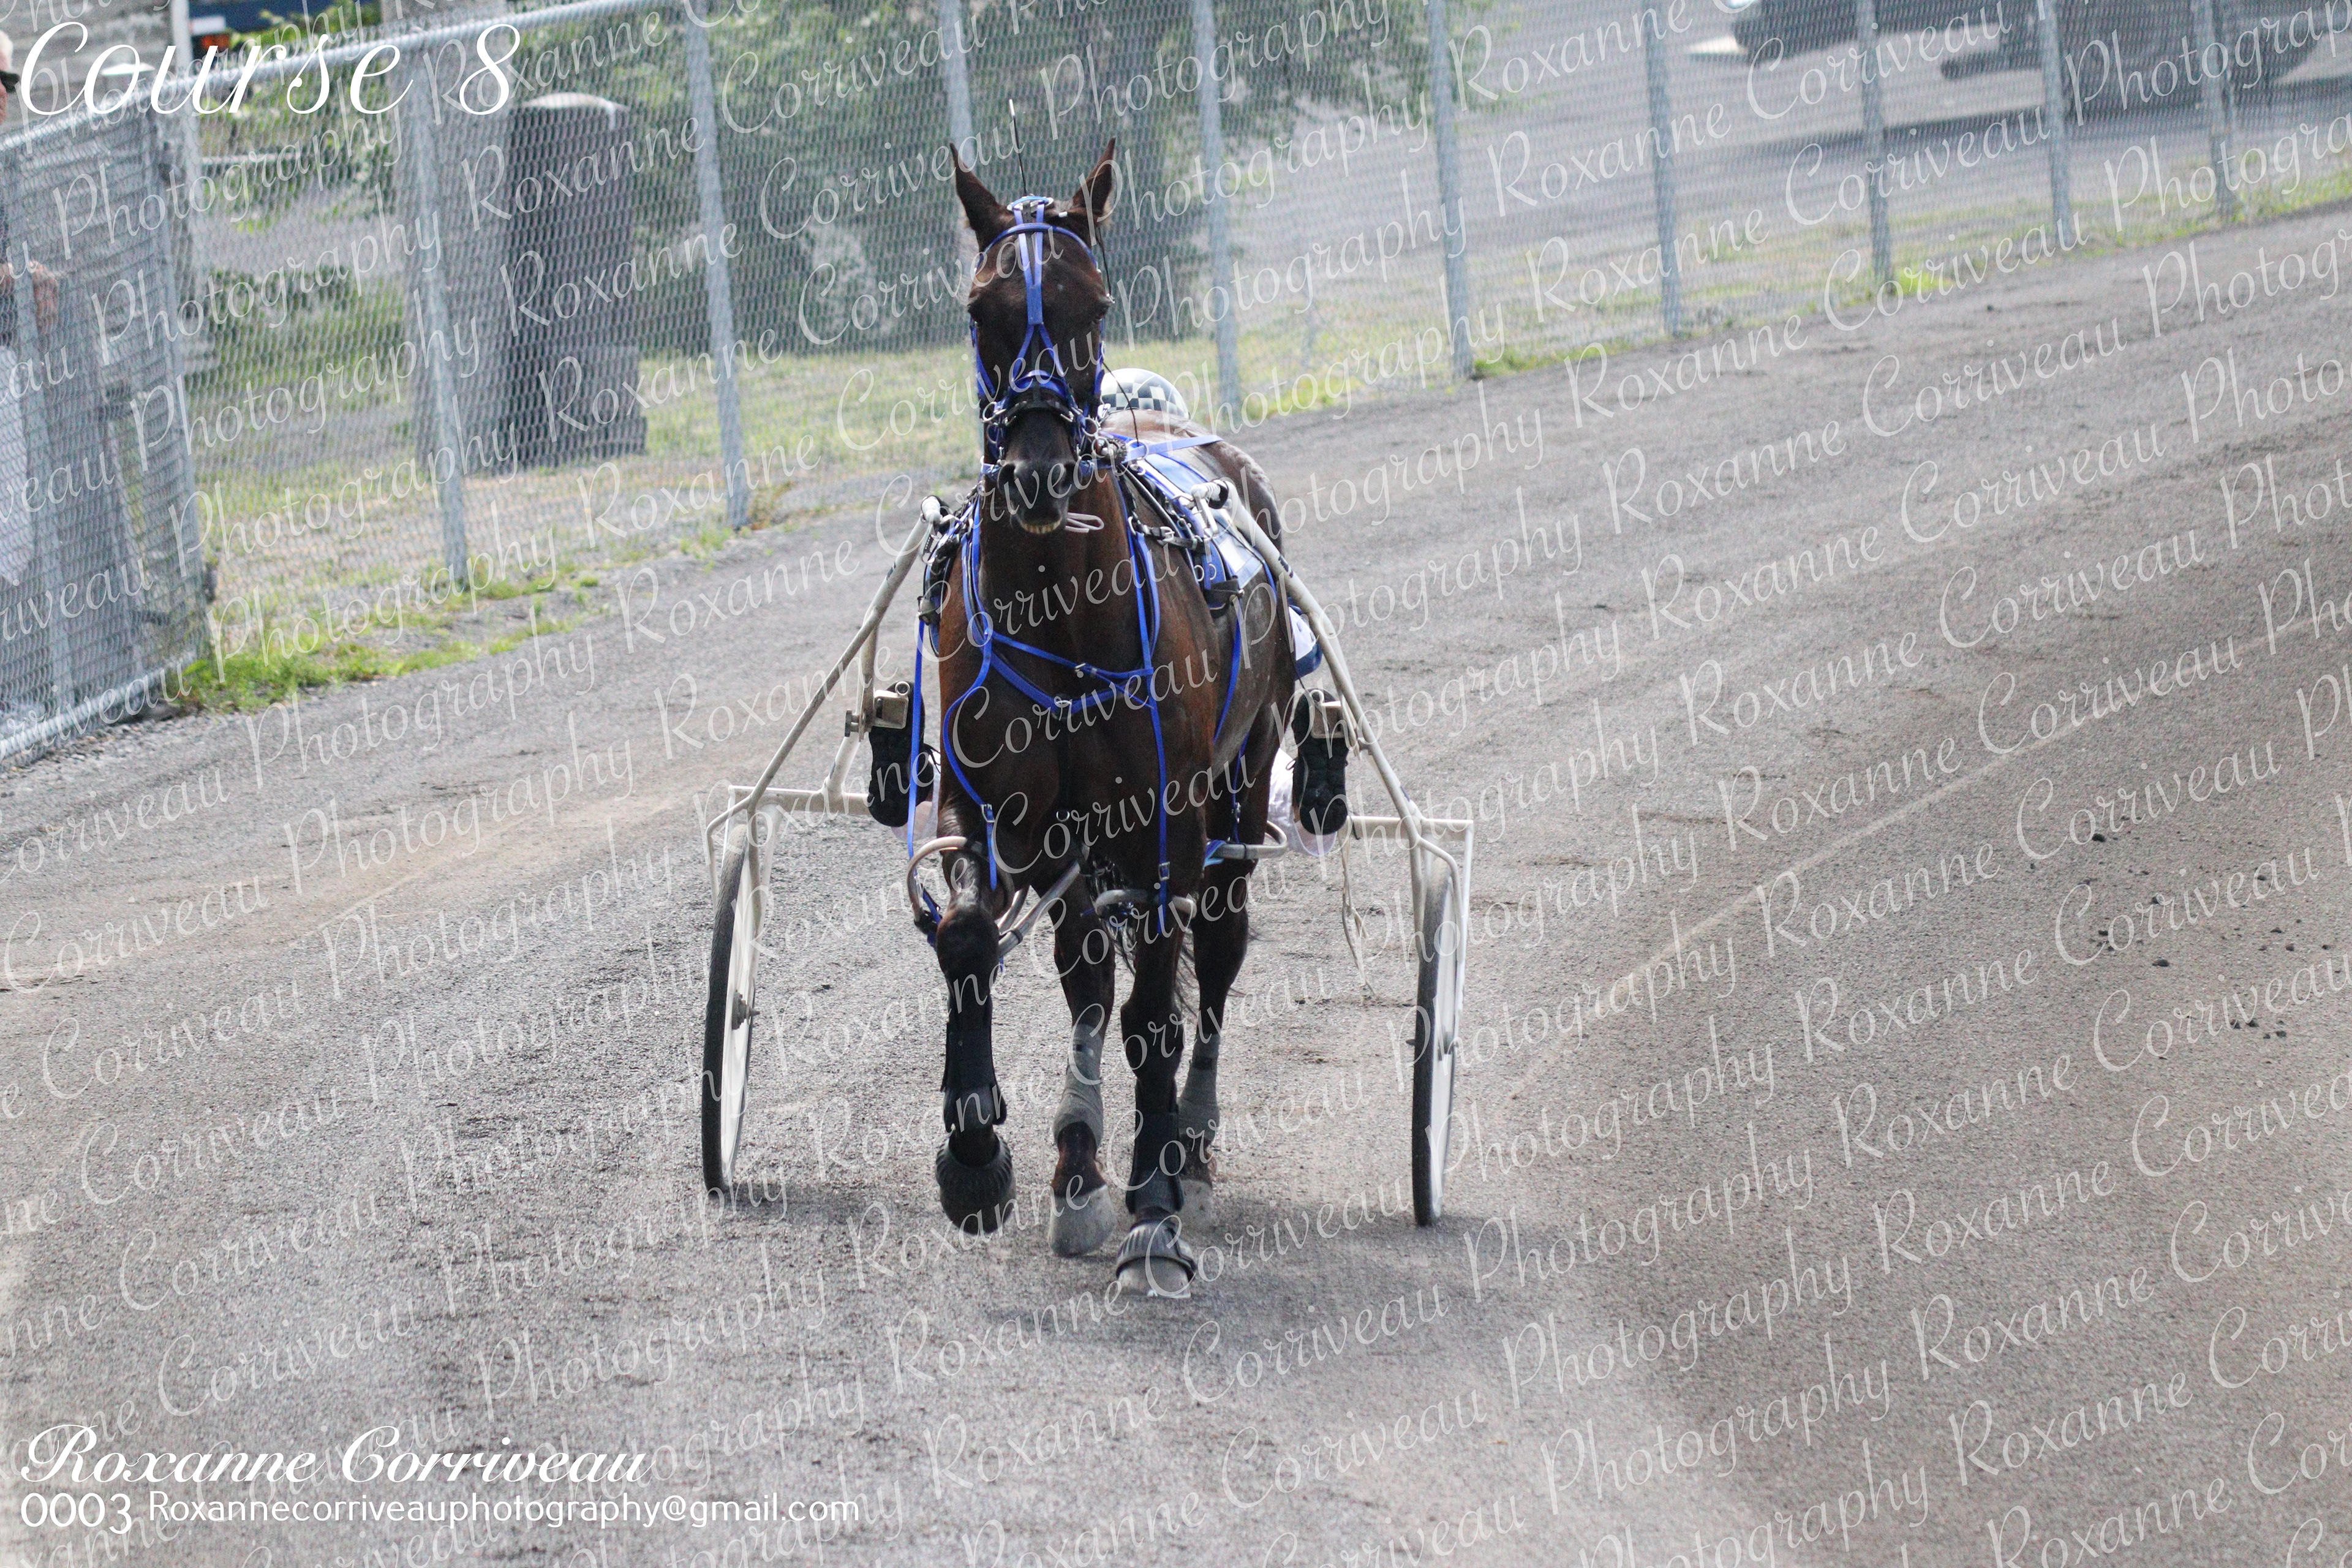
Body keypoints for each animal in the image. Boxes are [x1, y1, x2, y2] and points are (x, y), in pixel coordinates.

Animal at [906, 142, 1302, 1296]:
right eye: (981, 307)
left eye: (1096, 302)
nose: (1038, 470)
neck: (1061, 606)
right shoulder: (989, 807)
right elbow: (969, 940)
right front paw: (977, 1155)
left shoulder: (1162, 823)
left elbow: (1155, 1013)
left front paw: (1156, 1211)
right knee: (1085, 967)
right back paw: (1080, 1168)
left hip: (1235, 790)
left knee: (1213, 953)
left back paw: (1187, 1155)